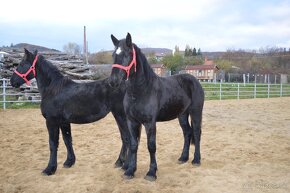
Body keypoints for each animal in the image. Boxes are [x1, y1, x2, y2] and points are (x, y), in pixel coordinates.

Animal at [110, 33, 205, 181]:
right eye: (114, 54)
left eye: (127, 54)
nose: (113, 81)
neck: (142, 91)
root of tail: (195, 80)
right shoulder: (132, 122)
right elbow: (133, 145)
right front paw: (130, 171)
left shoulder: (150, 123)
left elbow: (151, 146)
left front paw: (151, 172)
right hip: (182, 115)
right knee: (187, 133)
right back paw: (183, 158)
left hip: (196, 112)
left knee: (196, 132)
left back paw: (196, 160)